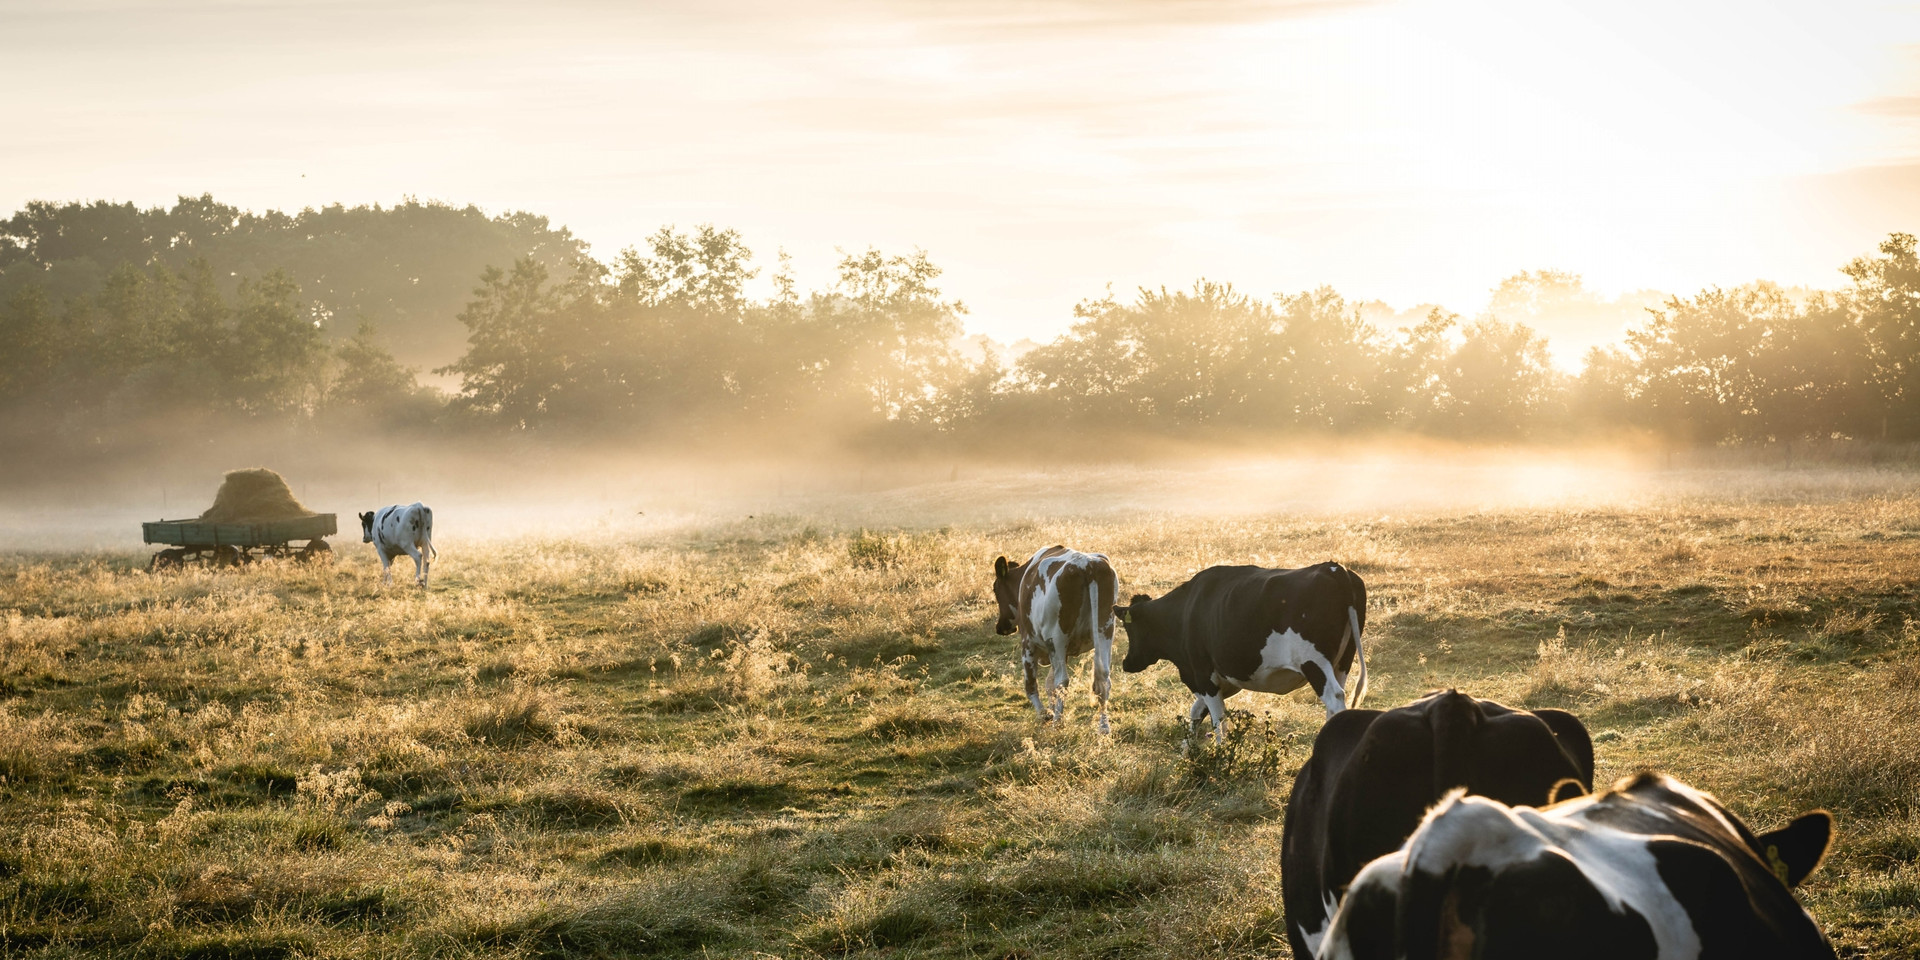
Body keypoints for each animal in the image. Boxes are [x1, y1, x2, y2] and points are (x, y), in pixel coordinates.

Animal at [990, 549, 1121, 733]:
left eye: (995, 589)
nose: (1000, 627)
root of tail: (1086, 564)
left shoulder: (1028, 642)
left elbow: (1031, 685)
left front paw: (1045, 714)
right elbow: (1049, 684)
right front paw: (1050, 711)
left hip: (1057, 637)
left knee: (1062, 681)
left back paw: (1058, 722)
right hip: (1105, 630)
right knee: (1103, 678)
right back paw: (1104, 726)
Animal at [1113, 560, 1367, 737]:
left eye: (1129, 628)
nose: (1126, 663)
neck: (1185, 611)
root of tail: (1333, 568)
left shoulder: (1203, 674)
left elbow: (1218, 722)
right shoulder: (1224, 681)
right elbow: (1197, 711)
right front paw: (1189, 752)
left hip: (1314, 662)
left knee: (1334, 697)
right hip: (1342, 662)